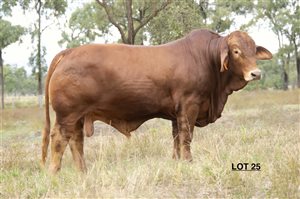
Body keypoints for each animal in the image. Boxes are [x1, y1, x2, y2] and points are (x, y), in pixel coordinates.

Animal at [41, 28, 272, 173]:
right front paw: (189, 161)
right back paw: (54, 173)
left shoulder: (176, 113)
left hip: (77, 116)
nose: (256, 73)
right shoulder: (189, 106)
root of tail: (69, 51)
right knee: (59, 140)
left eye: (253, 50)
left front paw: (177, 161)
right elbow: (186, 137)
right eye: (236, 51)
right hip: (67, 114)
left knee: (76, 142)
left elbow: (176, 138)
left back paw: (83, 172)